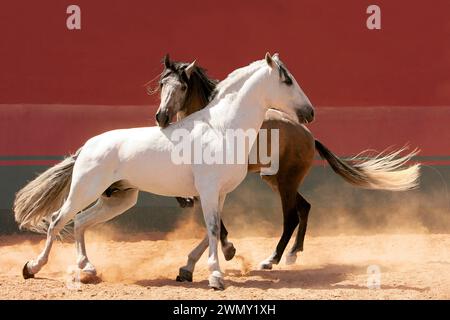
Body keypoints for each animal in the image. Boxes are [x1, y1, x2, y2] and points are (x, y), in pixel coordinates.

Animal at [15, 53, 314, 290]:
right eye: (288, 80)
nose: (310, 112)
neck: (222, 128)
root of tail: (87, 147)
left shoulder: (220, 193)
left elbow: (215, 229)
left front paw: (189, 269)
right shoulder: (207, 191)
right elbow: (214, 228)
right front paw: (215, 277)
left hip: (119, 198)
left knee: (79, 222)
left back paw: (88, 268)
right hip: (84, 190)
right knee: (57, 220)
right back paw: (32, 267)